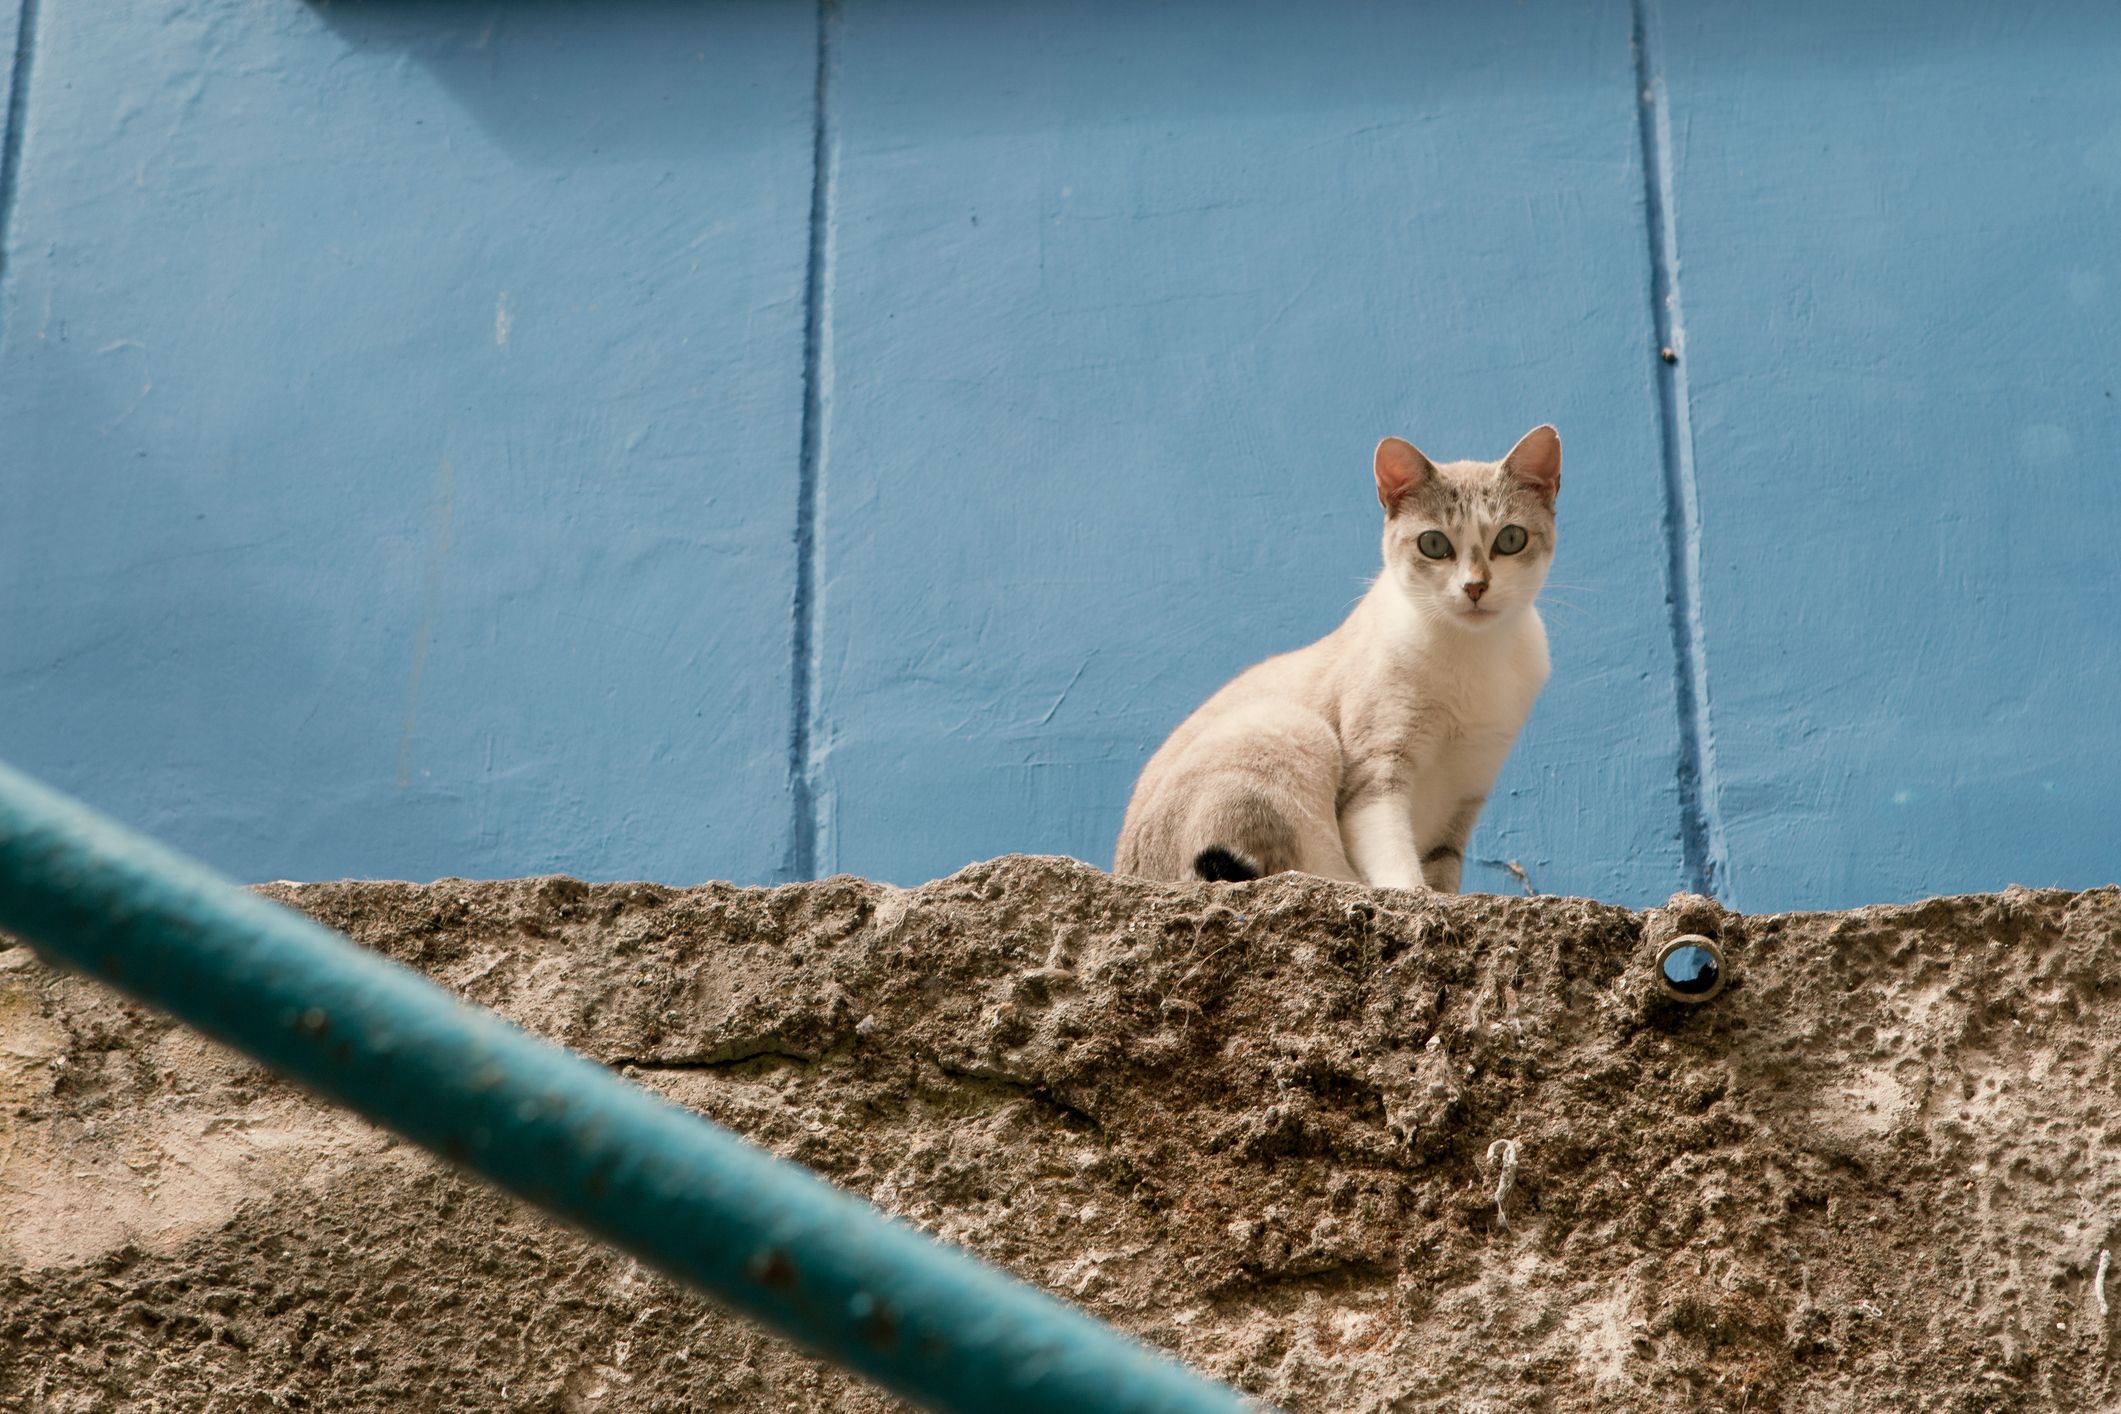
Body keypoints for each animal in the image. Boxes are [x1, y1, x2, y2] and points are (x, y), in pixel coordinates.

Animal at [1111, 423, 1561, 894]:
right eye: (1434, 544)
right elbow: (1399, 866)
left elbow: (1441, 876)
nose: (1475, 587)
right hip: (1292, 729)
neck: (1473, 653)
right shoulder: (1377, 773)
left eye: (1510, 539)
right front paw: (1410, 893)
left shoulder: (1463, 797)